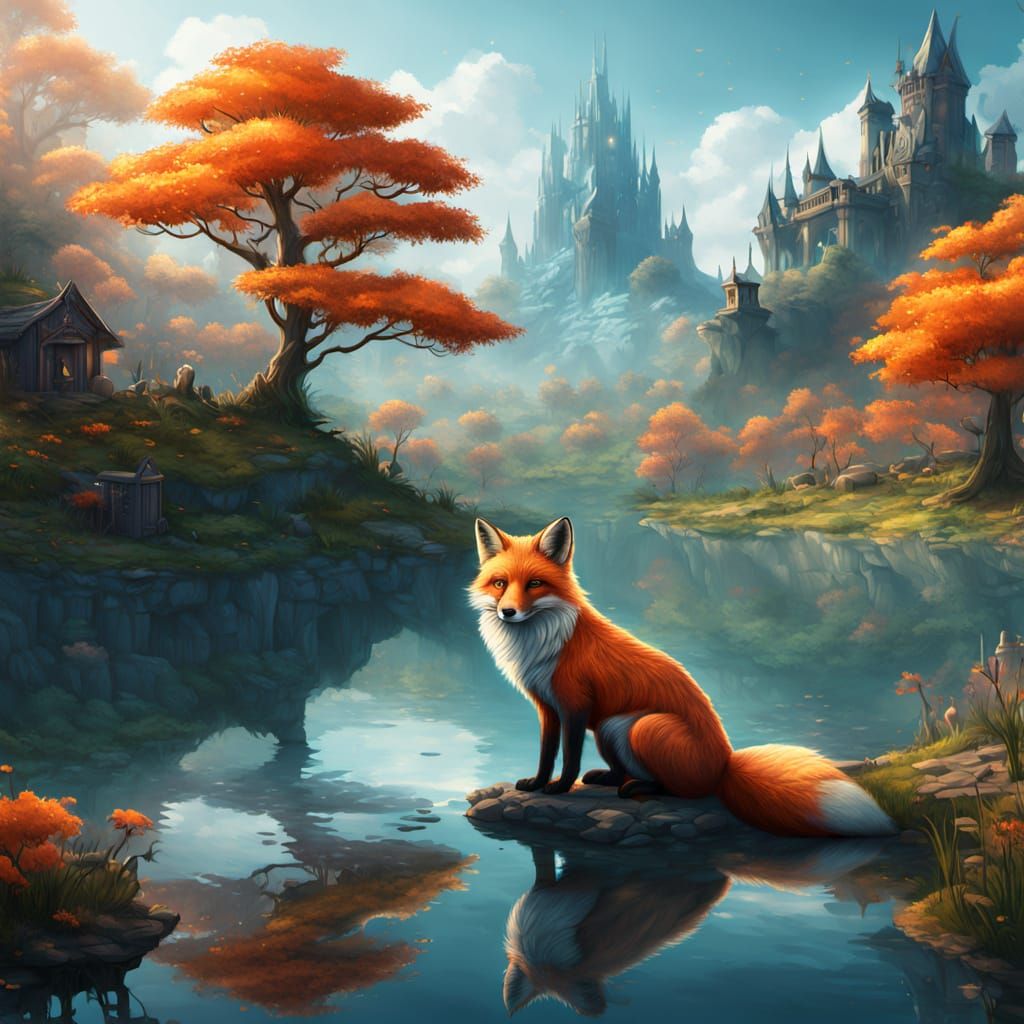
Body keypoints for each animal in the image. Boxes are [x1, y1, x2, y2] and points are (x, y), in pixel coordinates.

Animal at [469, 516, 897, 838]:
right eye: (500, 583)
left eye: (535, 584)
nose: (508, 612)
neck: (544, 643)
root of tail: (725, 763)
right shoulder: (547, 707)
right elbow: (546, 753)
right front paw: (538, 784)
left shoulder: (575, 705)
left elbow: (569, 756)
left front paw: (558, 789)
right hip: (610, 727)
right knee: (628, 771)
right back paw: (606, 778)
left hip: (640, 726)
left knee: (682, 790)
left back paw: (636, 788)